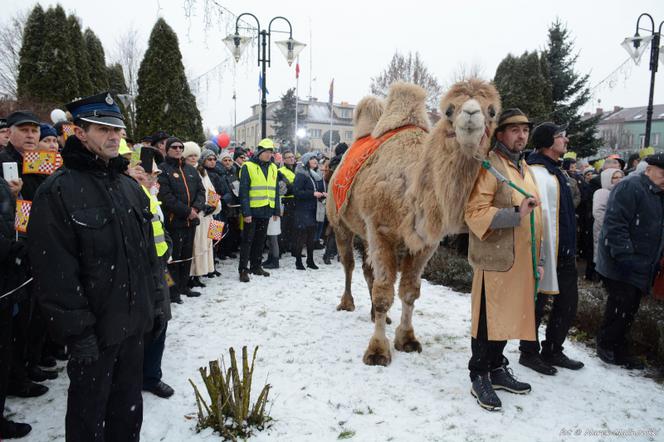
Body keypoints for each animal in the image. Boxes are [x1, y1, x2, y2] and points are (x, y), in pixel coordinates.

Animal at [324, 79, 500, 366]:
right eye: (449, 110)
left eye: (492, 111)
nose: (472, 114)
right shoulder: (381, 230)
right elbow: (384, 293)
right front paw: (377, 351)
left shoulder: (425, 243)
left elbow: (409, 291)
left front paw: (407, 339)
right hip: (340, 221)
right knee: (349, 264)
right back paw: (347, 303)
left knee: (368, 270)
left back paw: (377, 316)